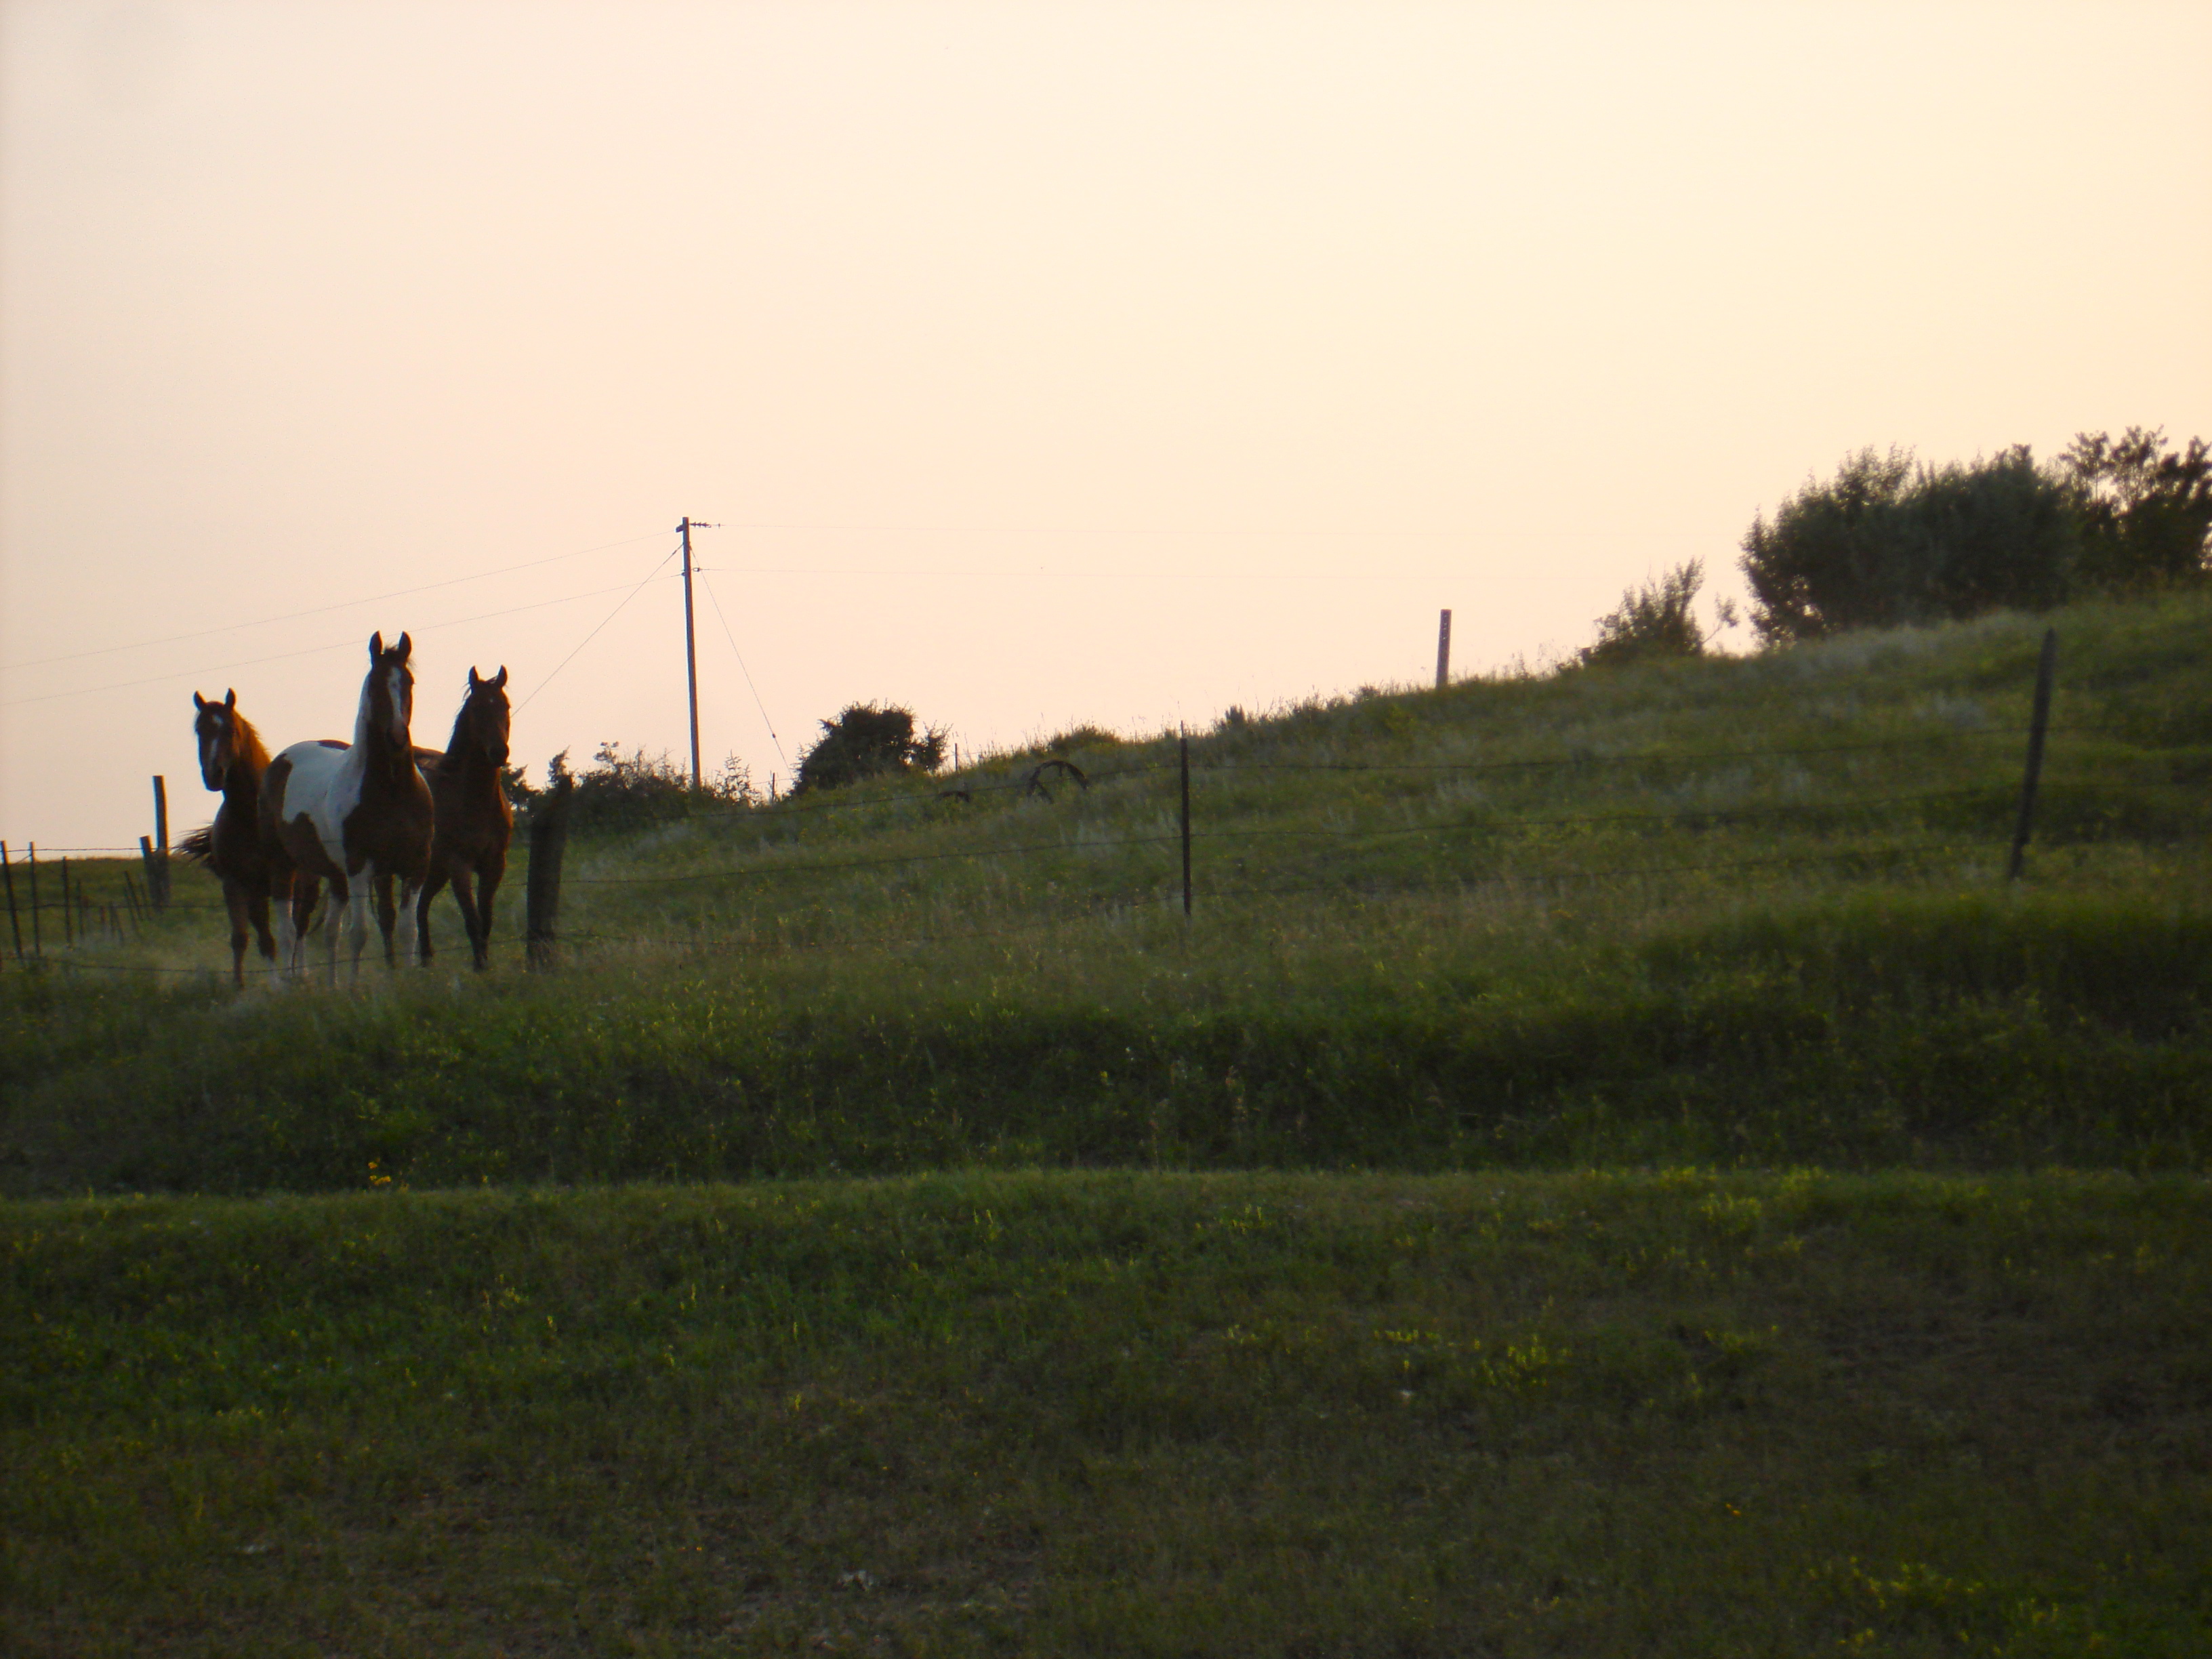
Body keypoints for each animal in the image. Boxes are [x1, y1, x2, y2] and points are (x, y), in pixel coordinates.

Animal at [181, 688, 294, 986]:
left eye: (231, 730)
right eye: (200, 730)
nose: (214, 775)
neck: (250, 817)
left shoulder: (281, 877)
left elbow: (284, 933)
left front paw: (285, 983)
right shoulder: (239, 884)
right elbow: (245, 938)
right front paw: (241, 986)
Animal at [258, 632, 436, 979]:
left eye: (408, 682)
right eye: (375, 684)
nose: (397, 737)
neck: (392, 791)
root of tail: (282, 759)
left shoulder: (415, 866)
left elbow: (407, 930)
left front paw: (405, 980)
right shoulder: (359, 867)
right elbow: (361, 933)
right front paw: (355, 988)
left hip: (332, 874)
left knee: (329, 932)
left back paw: (331, 984)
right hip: (284, 865)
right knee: (287, 931)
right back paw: (288, 983)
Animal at [415, 665, 513, 970]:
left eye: (505, 706)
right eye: (476, 708)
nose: (499, 752)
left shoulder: (495, 864)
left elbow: (486, 920)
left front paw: (485, 964)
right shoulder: (459, 865)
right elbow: (471, 920)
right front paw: (480, 968)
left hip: (434, 871)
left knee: (420, 907)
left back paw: (427, 960)